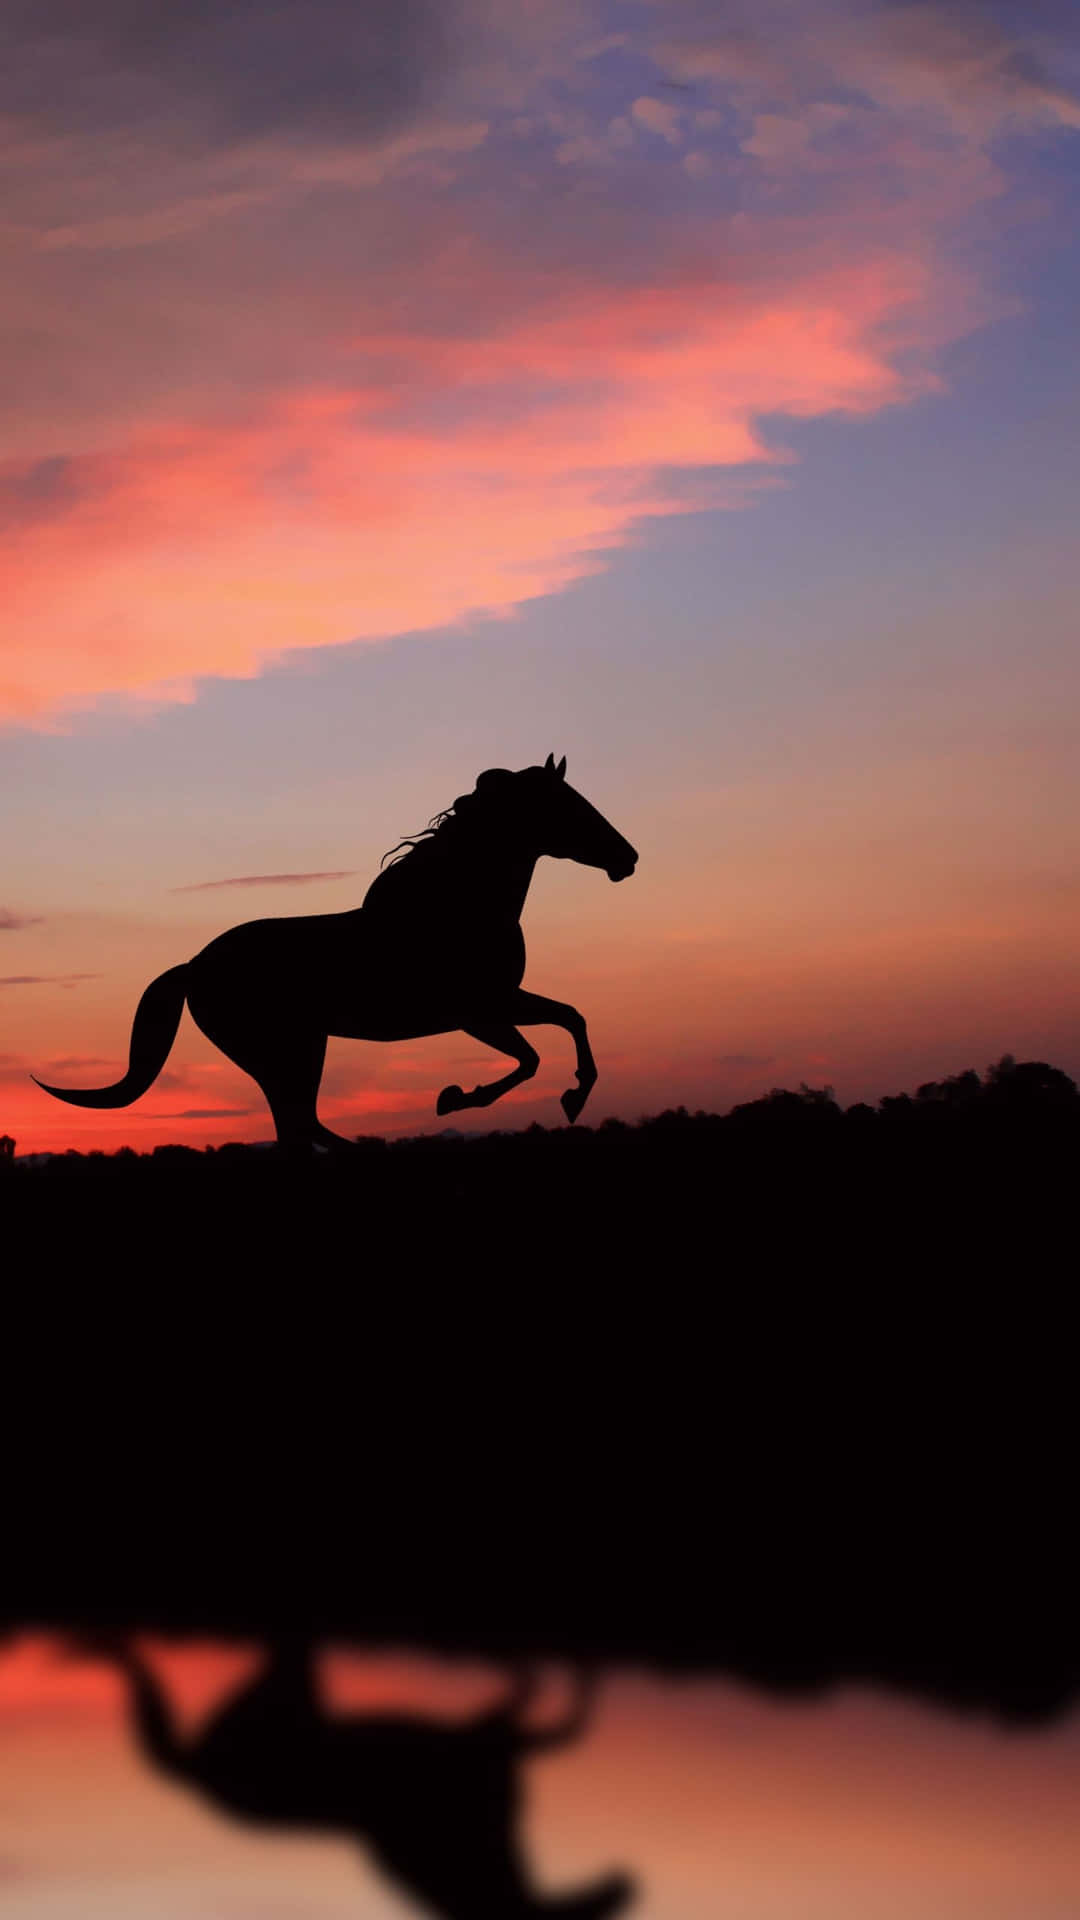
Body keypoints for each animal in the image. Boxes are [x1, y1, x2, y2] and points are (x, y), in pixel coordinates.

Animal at [37, 756, 634, 1144]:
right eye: (569, 806)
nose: (627, 858)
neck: (455, 905)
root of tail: (194, 966)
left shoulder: (500, 1002)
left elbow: (570, 1018)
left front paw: (573, 1097)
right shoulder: (476, 1011)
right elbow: (532, 1057)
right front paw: (456, 1097)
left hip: (300, 1048)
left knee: (299, 1127)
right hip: (283, 1050)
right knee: (299, 1125)